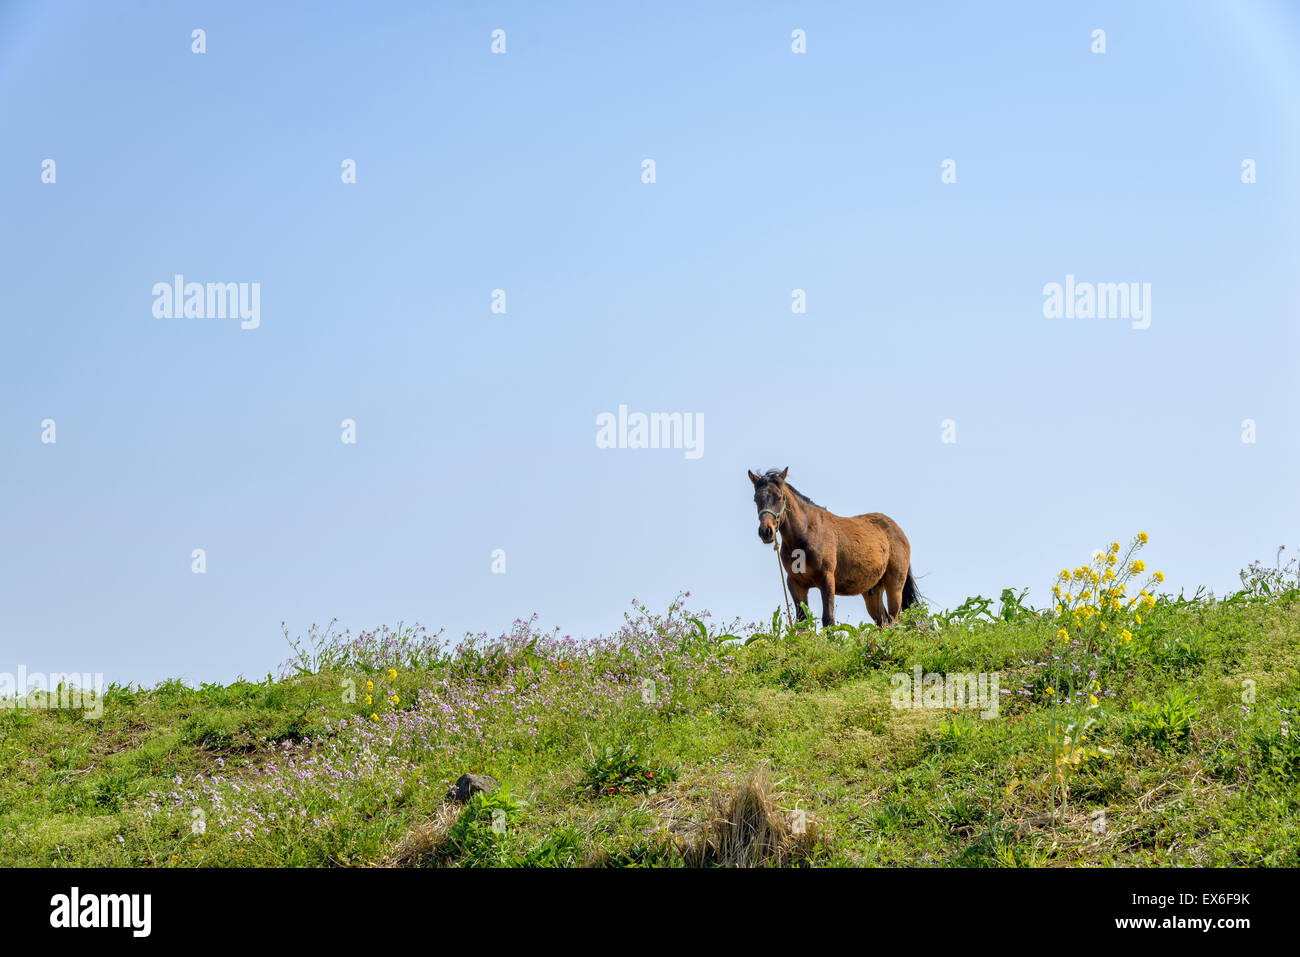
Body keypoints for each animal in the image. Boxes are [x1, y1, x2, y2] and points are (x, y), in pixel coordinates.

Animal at [748, 467, 919, 628]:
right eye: (756, 499)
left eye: (779, 497)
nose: (766, 531)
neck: (807, 534)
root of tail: (898, 530)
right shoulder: (795, 584)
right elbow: (802, 622)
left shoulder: (827, 580)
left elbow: (828, 619)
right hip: (872, 591)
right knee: (883, 622)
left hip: (895, 585)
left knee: (894, 620)